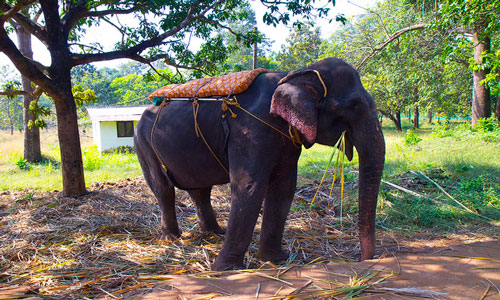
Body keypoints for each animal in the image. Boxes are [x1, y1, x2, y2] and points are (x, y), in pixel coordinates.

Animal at [135, 57, 384, 270]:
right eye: (354, 106)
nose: (362, 260)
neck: (294, 75)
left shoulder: (286, 137)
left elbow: (284, 188)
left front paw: (275, 260)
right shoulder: (251, 130)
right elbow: (249, 186)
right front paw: (224, 270)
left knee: (199, 191)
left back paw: (214, 234)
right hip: (143, 144)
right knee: (163, 190)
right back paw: (172, 239)